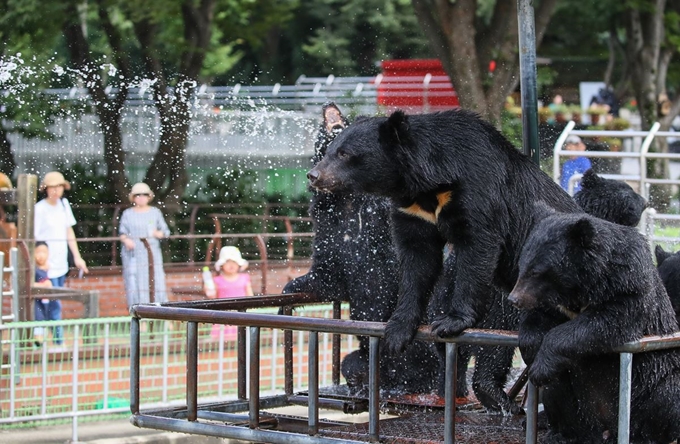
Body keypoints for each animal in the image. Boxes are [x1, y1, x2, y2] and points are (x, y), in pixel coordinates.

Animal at [282, 105, 438, 396]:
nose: (329, 107)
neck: (347, 199)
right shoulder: (328, 233)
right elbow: (328, 274)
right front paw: (291, 289)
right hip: (364, 359)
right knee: (351, 364)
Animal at [308, 109, 580, 356]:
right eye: (328, 150)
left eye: (344, 154)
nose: (313, 175)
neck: (427, 187)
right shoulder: (413, 210)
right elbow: (417, 259)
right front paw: (396, 331)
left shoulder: (477, 189)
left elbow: (478, 246)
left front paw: (450, 322)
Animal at [510, 209, 680, 444]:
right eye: (521, 266)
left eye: (537, 271)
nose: (513, 299)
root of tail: (606, 431)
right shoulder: (554, 302)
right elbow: (539, 314)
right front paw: (531, 349)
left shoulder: (628, 285)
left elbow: (606, 321)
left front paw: (541, 363)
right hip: (580, 409)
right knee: (557, 390)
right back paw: (563, 434)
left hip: (652, 385)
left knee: (666, 397)